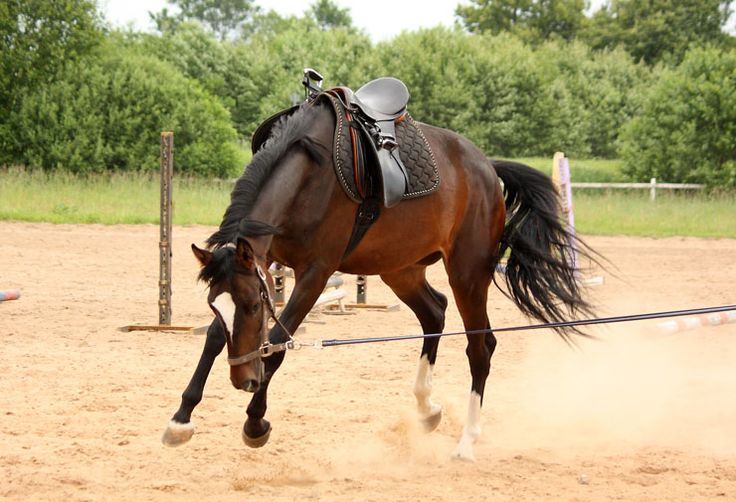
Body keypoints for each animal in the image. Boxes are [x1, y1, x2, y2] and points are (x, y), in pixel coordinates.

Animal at [161, 96, 592, 460]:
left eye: (253, 306)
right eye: (215, 306)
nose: (243, 380)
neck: (309, 170)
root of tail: (487, 169)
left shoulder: (315, 273)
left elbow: (278, 344)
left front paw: (255, 422)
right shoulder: (266, 265)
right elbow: (215, 337)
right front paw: (181, 418)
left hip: (467, 273)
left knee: (480, 346)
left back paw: (467, 440)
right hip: (400, 269)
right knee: (435, 313)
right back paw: (426, 408)